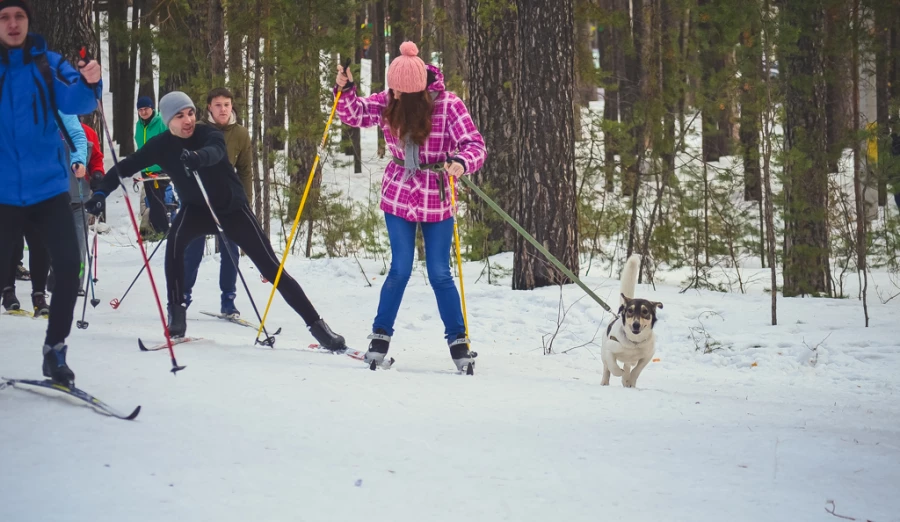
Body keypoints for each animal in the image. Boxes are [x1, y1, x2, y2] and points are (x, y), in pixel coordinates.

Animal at [604, 254, 660, 384]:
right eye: (630, 310)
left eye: (645, 311)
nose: (636, 325)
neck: (634, 342)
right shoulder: (609, 348)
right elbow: (613, 366)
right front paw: (620, 372)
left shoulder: (648, 355)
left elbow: (637, 369)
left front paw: (630, 379)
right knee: (606, 369)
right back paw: (605, 381)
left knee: (628, 365)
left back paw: (626, 380)